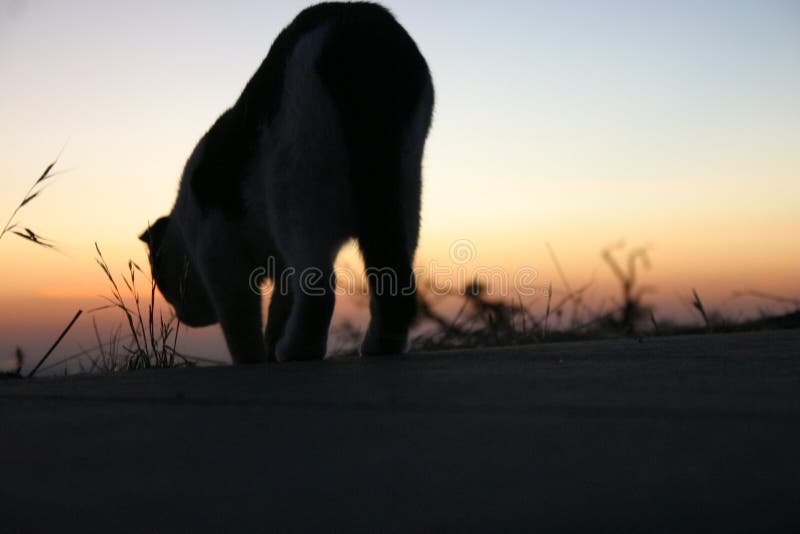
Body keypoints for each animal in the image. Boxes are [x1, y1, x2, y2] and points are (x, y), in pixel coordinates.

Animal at [141, 2, 434, 366]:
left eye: (163, 283)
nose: (182, 316)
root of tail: (358, 25)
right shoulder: (280, 266)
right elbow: (281, 306)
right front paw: (271, 345)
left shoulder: (220, 255)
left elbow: (242, 325)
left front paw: (254, 358)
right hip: (403, 192)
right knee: (394, 279)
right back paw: (381, 345)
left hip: (298, 188)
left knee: (320, 286)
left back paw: (297, 350)